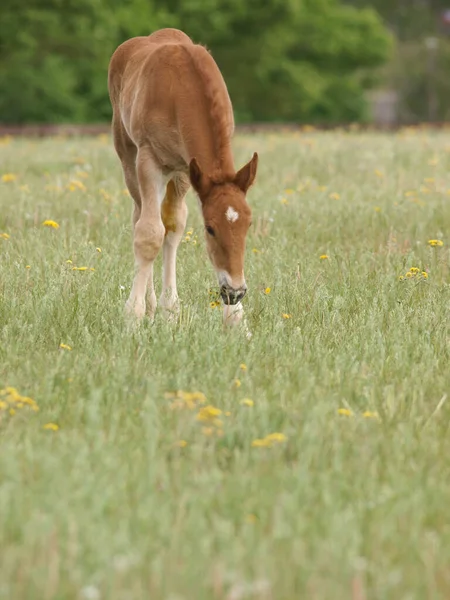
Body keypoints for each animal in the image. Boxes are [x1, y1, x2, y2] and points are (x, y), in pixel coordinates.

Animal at [107, 29, 258, 324]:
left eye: (248, 224)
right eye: (210, 228)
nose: (235, 291)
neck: (182, 91)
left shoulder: (188, 169)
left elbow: (174, 226)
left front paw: (236, 320)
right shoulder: (149, 159)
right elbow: (149, 233)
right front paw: (133, 315)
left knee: (170, 222)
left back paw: (166, 308)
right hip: (128, 154)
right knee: (140, 217)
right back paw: (150, 305)